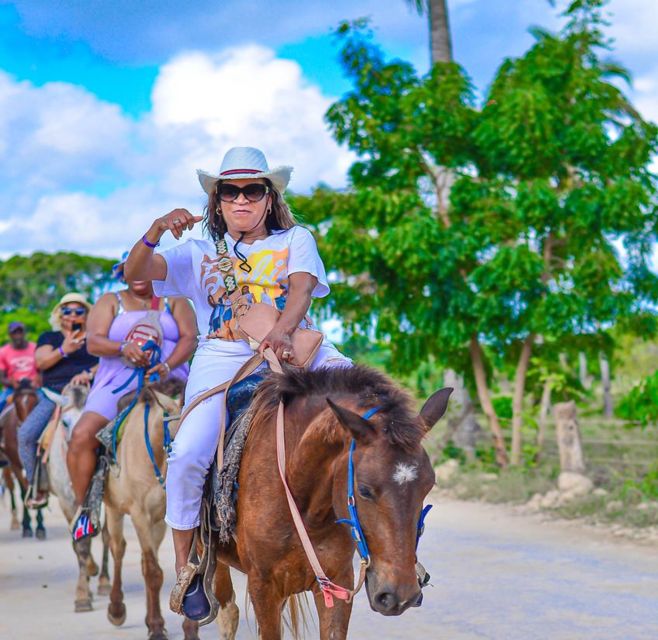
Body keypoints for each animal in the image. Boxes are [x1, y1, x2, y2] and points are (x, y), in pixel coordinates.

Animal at [103, 384, 197, 640]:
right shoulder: (140, 515)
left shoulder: (166, 519)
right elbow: (154, 572)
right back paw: (116, 608)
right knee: (118, 549)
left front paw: (189, 628)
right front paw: (156, 627)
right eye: (174, 440)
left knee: (144, 561)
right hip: (114, 510)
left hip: (158, 524)